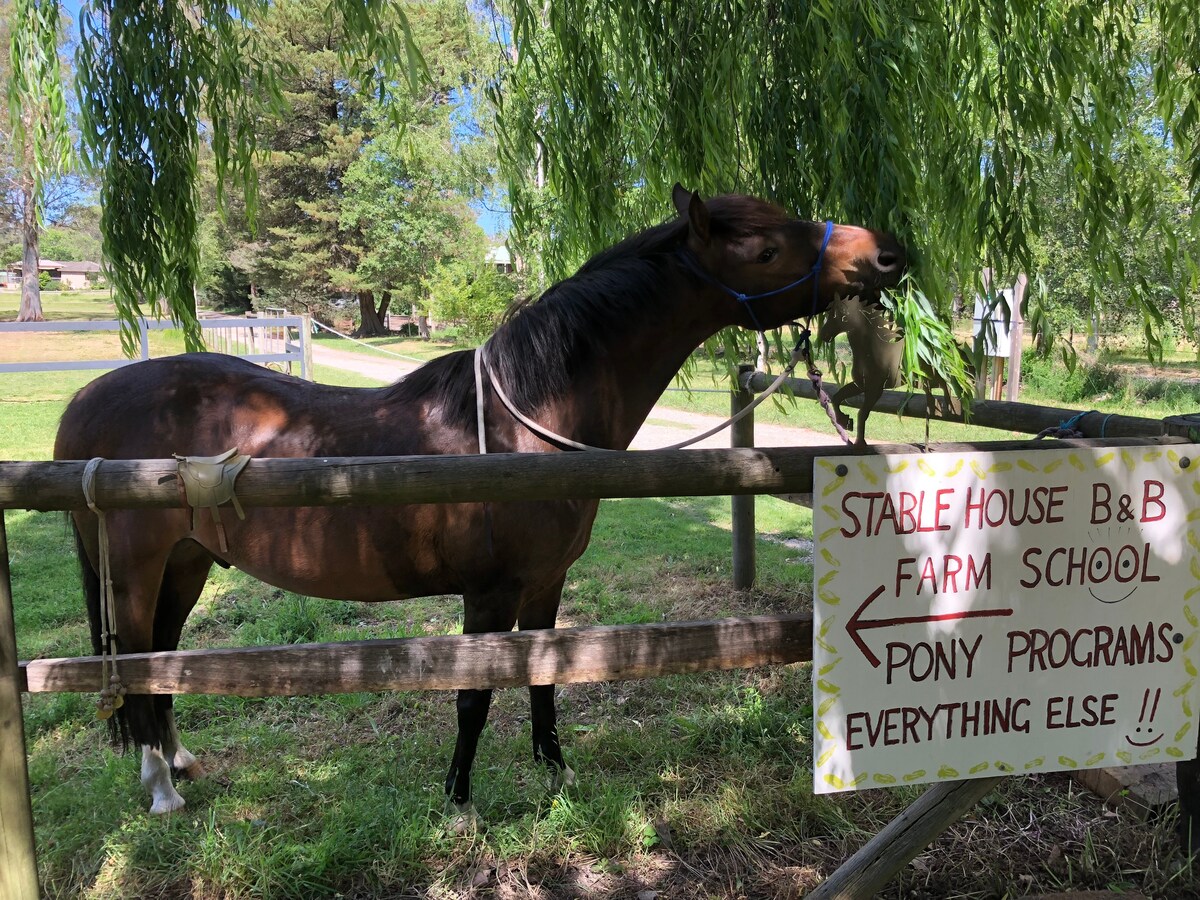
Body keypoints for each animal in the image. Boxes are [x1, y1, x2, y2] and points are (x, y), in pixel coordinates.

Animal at [51, 187, 902, 820]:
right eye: (767, 250)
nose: (885, 253)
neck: (529, 424)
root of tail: (84, 405)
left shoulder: (547, 583)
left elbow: (544, 677)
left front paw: (556, 773)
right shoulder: (488, 592)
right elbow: (472, 695)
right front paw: (459, 800)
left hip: (188, 563)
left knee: (161, 662)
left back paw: (179, 763)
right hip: (135, 572)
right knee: (134, 662)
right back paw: (160, 790)